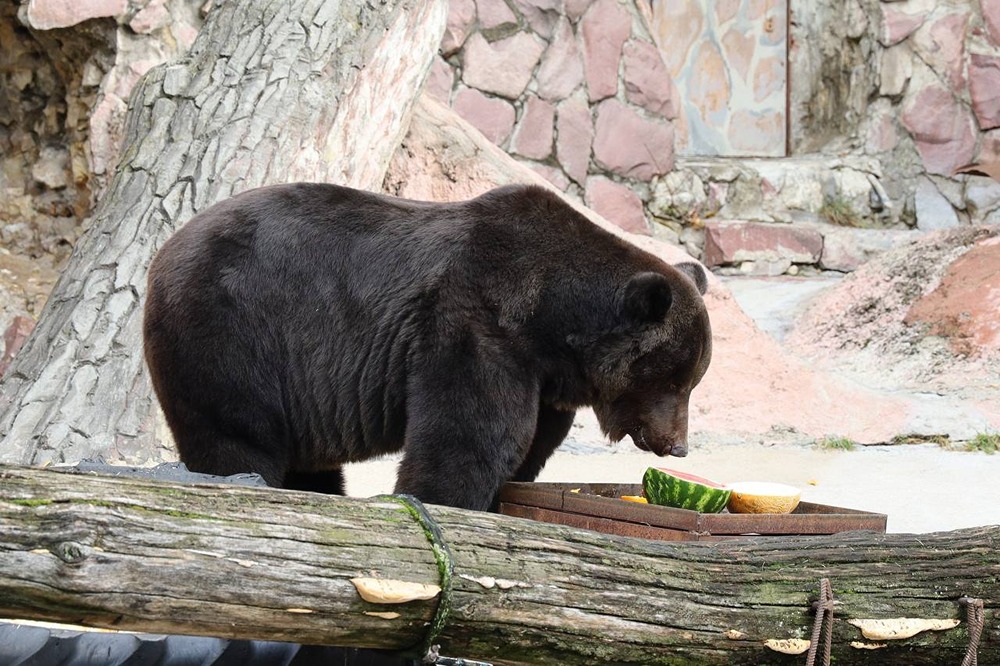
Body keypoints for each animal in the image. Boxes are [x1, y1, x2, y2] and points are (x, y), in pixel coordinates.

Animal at [143, 182, 712, 508]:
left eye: (691, 380)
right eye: (674, 378)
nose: (678, 445)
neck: (552, 321)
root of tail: (163, 255)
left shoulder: (545, 376)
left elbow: (529, 445)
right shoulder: (478, 322)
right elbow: (466, 435)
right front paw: (437, 500)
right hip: (233, 332)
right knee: (237, 438)